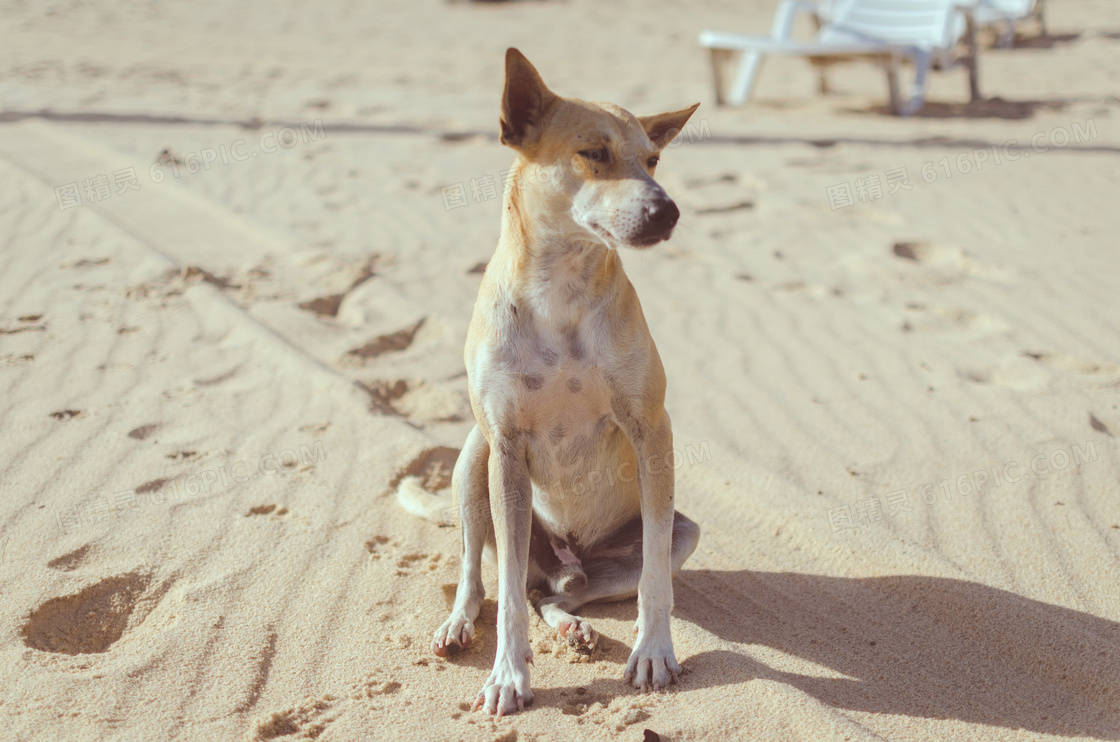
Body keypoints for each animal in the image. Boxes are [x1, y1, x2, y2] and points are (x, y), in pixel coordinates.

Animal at [421, 49, 698, 717]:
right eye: (593, 152)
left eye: (652, 159)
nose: (668, 210)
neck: (562, 292)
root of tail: (566, 559)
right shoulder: (506, 446)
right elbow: (505, 596)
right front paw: (507, 675)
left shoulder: (652, 430)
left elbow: (654, 575)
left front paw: (654, 651)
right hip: (474, 459)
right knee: (485, 575)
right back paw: (459, 623)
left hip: (671, 538)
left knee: (557, 592)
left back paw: (574, 623)